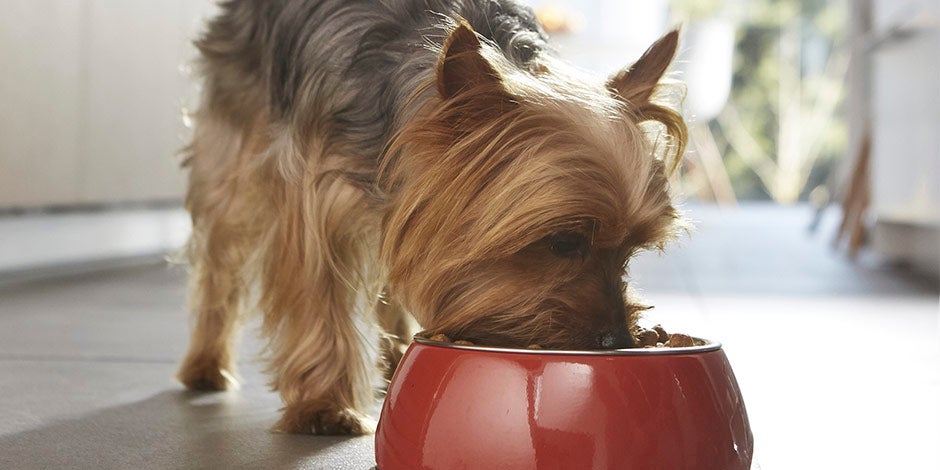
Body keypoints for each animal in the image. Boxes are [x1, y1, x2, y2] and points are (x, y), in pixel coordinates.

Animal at [180, 0, 688, 436]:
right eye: (563, 242)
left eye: (629, 250)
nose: (617, 340)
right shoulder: (313, 192)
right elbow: (318, 293)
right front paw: (324, 406)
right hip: (235, 147)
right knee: (220, 257)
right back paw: (206, 364)